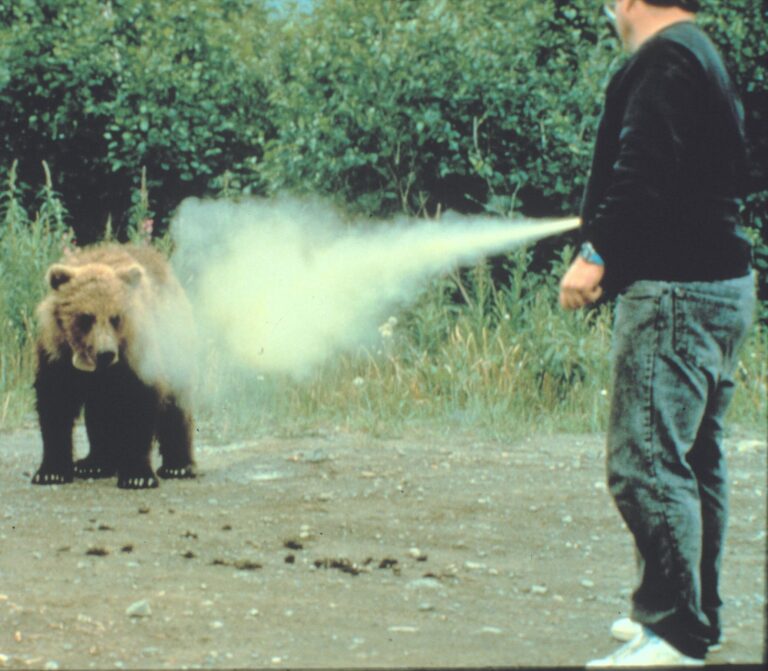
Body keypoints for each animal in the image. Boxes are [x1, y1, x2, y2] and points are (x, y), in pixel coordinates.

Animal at [32, 242, 197, 489]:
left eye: (116, 317)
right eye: (86, 317)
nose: (106, 353)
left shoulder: (139, 358)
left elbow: (140, 404)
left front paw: (138, 476)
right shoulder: (56, 357)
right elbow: (55, 406)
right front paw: (51, 472)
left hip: (175, 347)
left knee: (177, 405)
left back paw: (179, 465)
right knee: (99, 413)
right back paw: (93, 463)